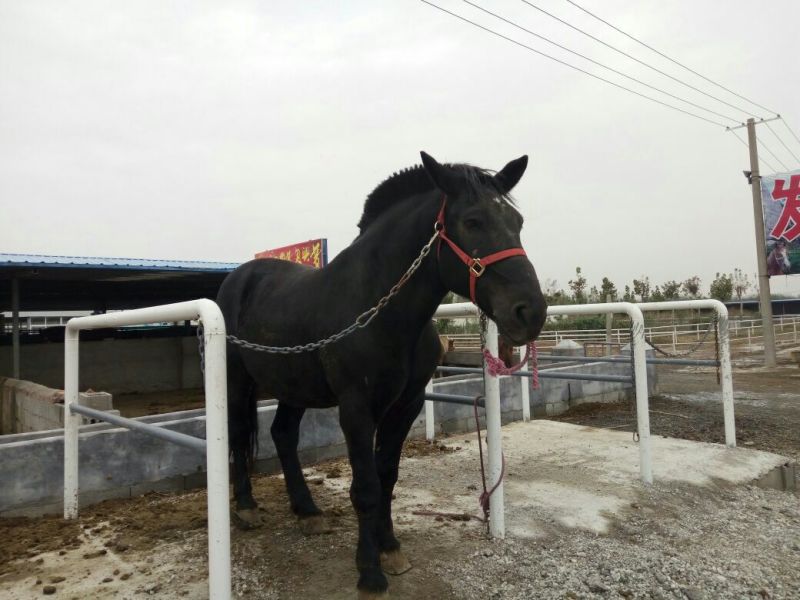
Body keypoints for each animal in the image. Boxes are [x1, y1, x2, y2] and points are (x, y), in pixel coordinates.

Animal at [216, 151, 547, 599]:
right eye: (473, 221)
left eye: (517, 222)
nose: (531, 312)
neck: (378, 307)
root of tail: (238, 278)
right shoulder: (357, 407)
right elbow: (367, 487)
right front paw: (370, 572)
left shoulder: (406, 404)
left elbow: (387, 475)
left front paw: (390, 549)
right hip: (238, 383)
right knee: (238, 436)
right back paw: (247, 509)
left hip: (294, 387)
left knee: (282, 434)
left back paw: (307, 511)